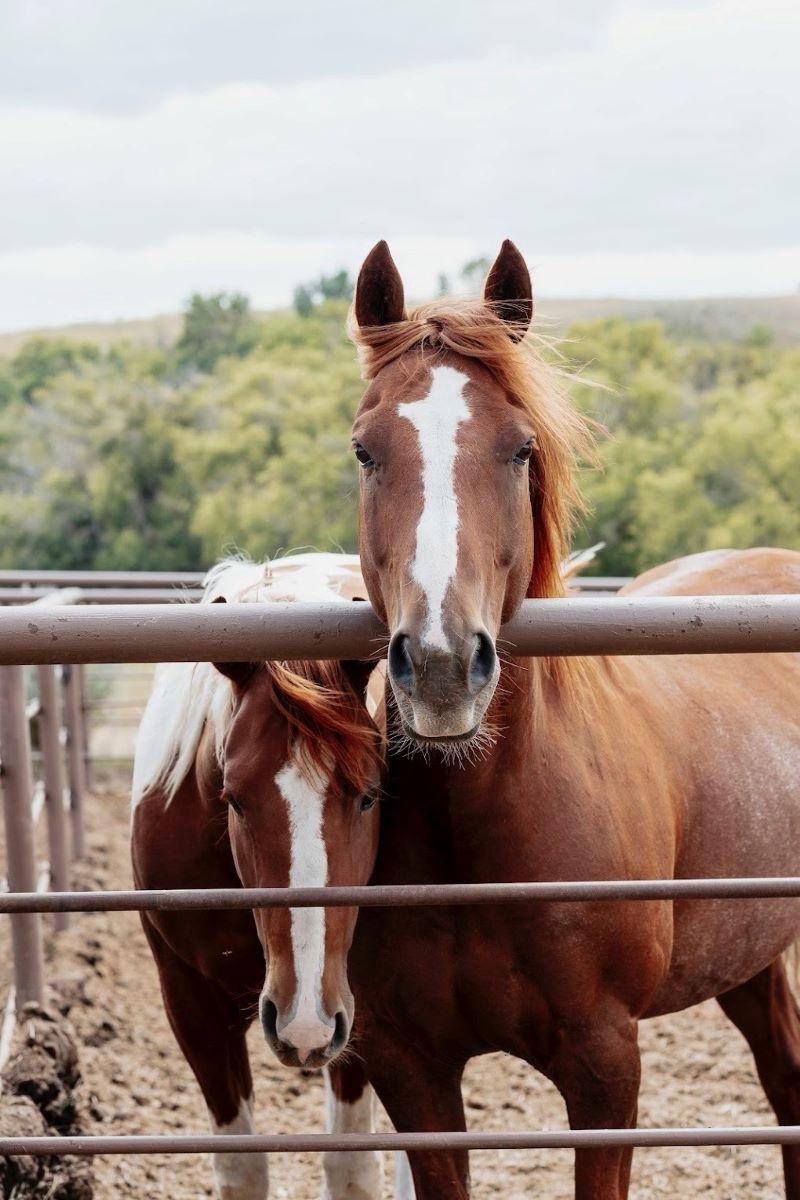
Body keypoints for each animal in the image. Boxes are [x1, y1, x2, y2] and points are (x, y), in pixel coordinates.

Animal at [131, 554, 385, 1200]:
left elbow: (353, 1168)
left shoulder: (354, 1009)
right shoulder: (192, 1007)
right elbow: (242, 1167)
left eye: (370, 796)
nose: (304, 1025)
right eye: (234, 799)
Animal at [345, 239, 800, 1199]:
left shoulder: (604, 1068)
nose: (442, 666)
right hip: (747, 954)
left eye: (520, 448)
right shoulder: (412, 1071)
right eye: (365, 450)